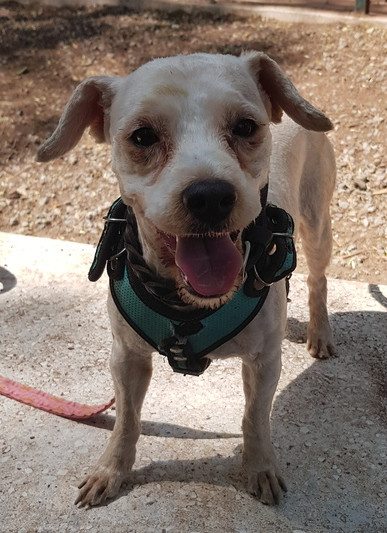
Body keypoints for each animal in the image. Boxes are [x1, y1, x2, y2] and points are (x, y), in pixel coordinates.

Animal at [38, 53, 338, 508]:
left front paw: (260, 468)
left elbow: (255, 418)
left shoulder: (264, 361)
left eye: (245, 127)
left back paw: (319, 333)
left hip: (316, 222)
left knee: (318, 281)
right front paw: (111, 470)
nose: (211, 196)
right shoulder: (126, 356)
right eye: (143, 136)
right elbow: (126, 420)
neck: (186, 305)